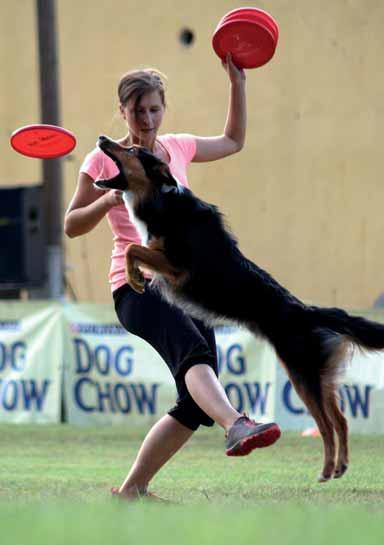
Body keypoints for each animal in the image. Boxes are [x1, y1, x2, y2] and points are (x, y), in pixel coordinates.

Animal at [95, 135, 384, 480]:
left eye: (132, 151)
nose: (102, 138)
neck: (162, 199)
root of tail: (304, 310)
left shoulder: (178, 268)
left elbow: (133, 248)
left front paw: (136, 278)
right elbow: (135, 248)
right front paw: (135, 275)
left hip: (303, 373)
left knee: (326, 425)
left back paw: (326, 469)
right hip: (318, 375)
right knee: (340, 419)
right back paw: (339, 466)